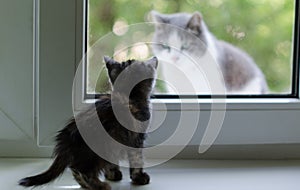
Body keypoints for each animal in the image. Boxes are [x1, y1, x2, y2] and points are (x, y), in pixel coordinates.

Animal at [18, 56, 158, 190]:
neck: (130, 95)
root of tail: (66, 138)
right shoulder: (136, 138)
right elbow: (137, 159)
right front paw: (139, 177)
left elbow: (112, 162)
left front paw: (112, 174)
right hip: (99, 150)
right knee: (84, 171)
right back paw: (99, 185)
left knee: (75, 168)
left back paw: (86, 185)